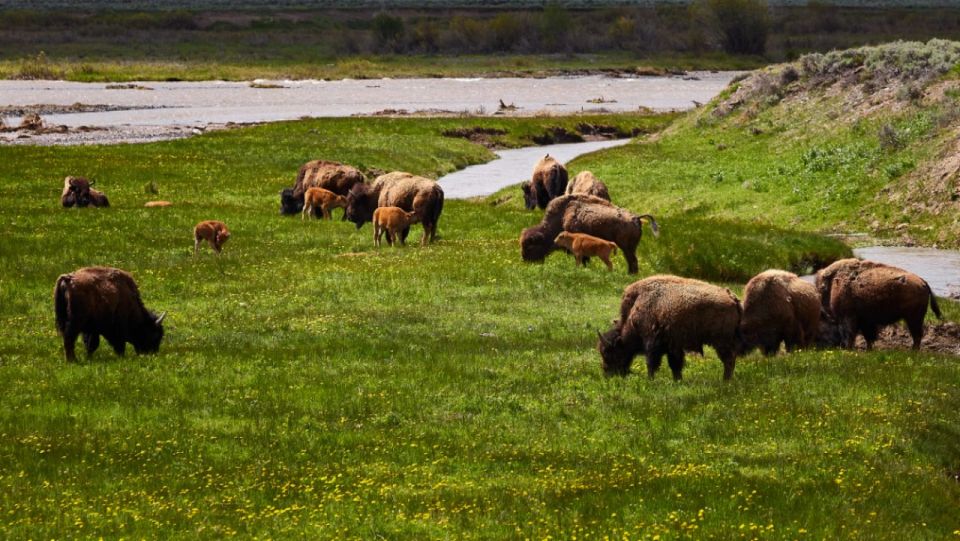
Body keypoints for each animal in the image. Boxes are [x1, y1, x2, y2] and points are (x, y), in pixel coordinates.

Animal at [516, 194, 660, 274]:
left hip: (626, 248)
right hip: (629, 248)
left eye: (530, 246)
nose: (524, 259)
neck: (561, 216)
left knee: (632, 260)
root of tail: (635, 218)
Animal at [596, 274, 748, 380]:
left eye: (608, 352)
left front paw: (650, 380)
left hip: (721, 342)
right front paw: (678, 380)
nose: (607, 373)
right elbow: (675, 365)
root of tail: (733, 298)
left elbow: (651, 363)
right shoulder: (673, 346)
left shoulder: (652, 343)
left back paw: (725, 381)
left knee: (729, 360)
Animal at [812, 255, 940, 348]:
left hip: (913, 318)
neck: (831, 286)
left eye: (820, 322)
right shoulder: (865, 321)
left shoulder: (848, 318)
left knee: (917, 336)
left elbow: (851, 336)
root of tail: (923, 282)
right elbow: (869, 337)